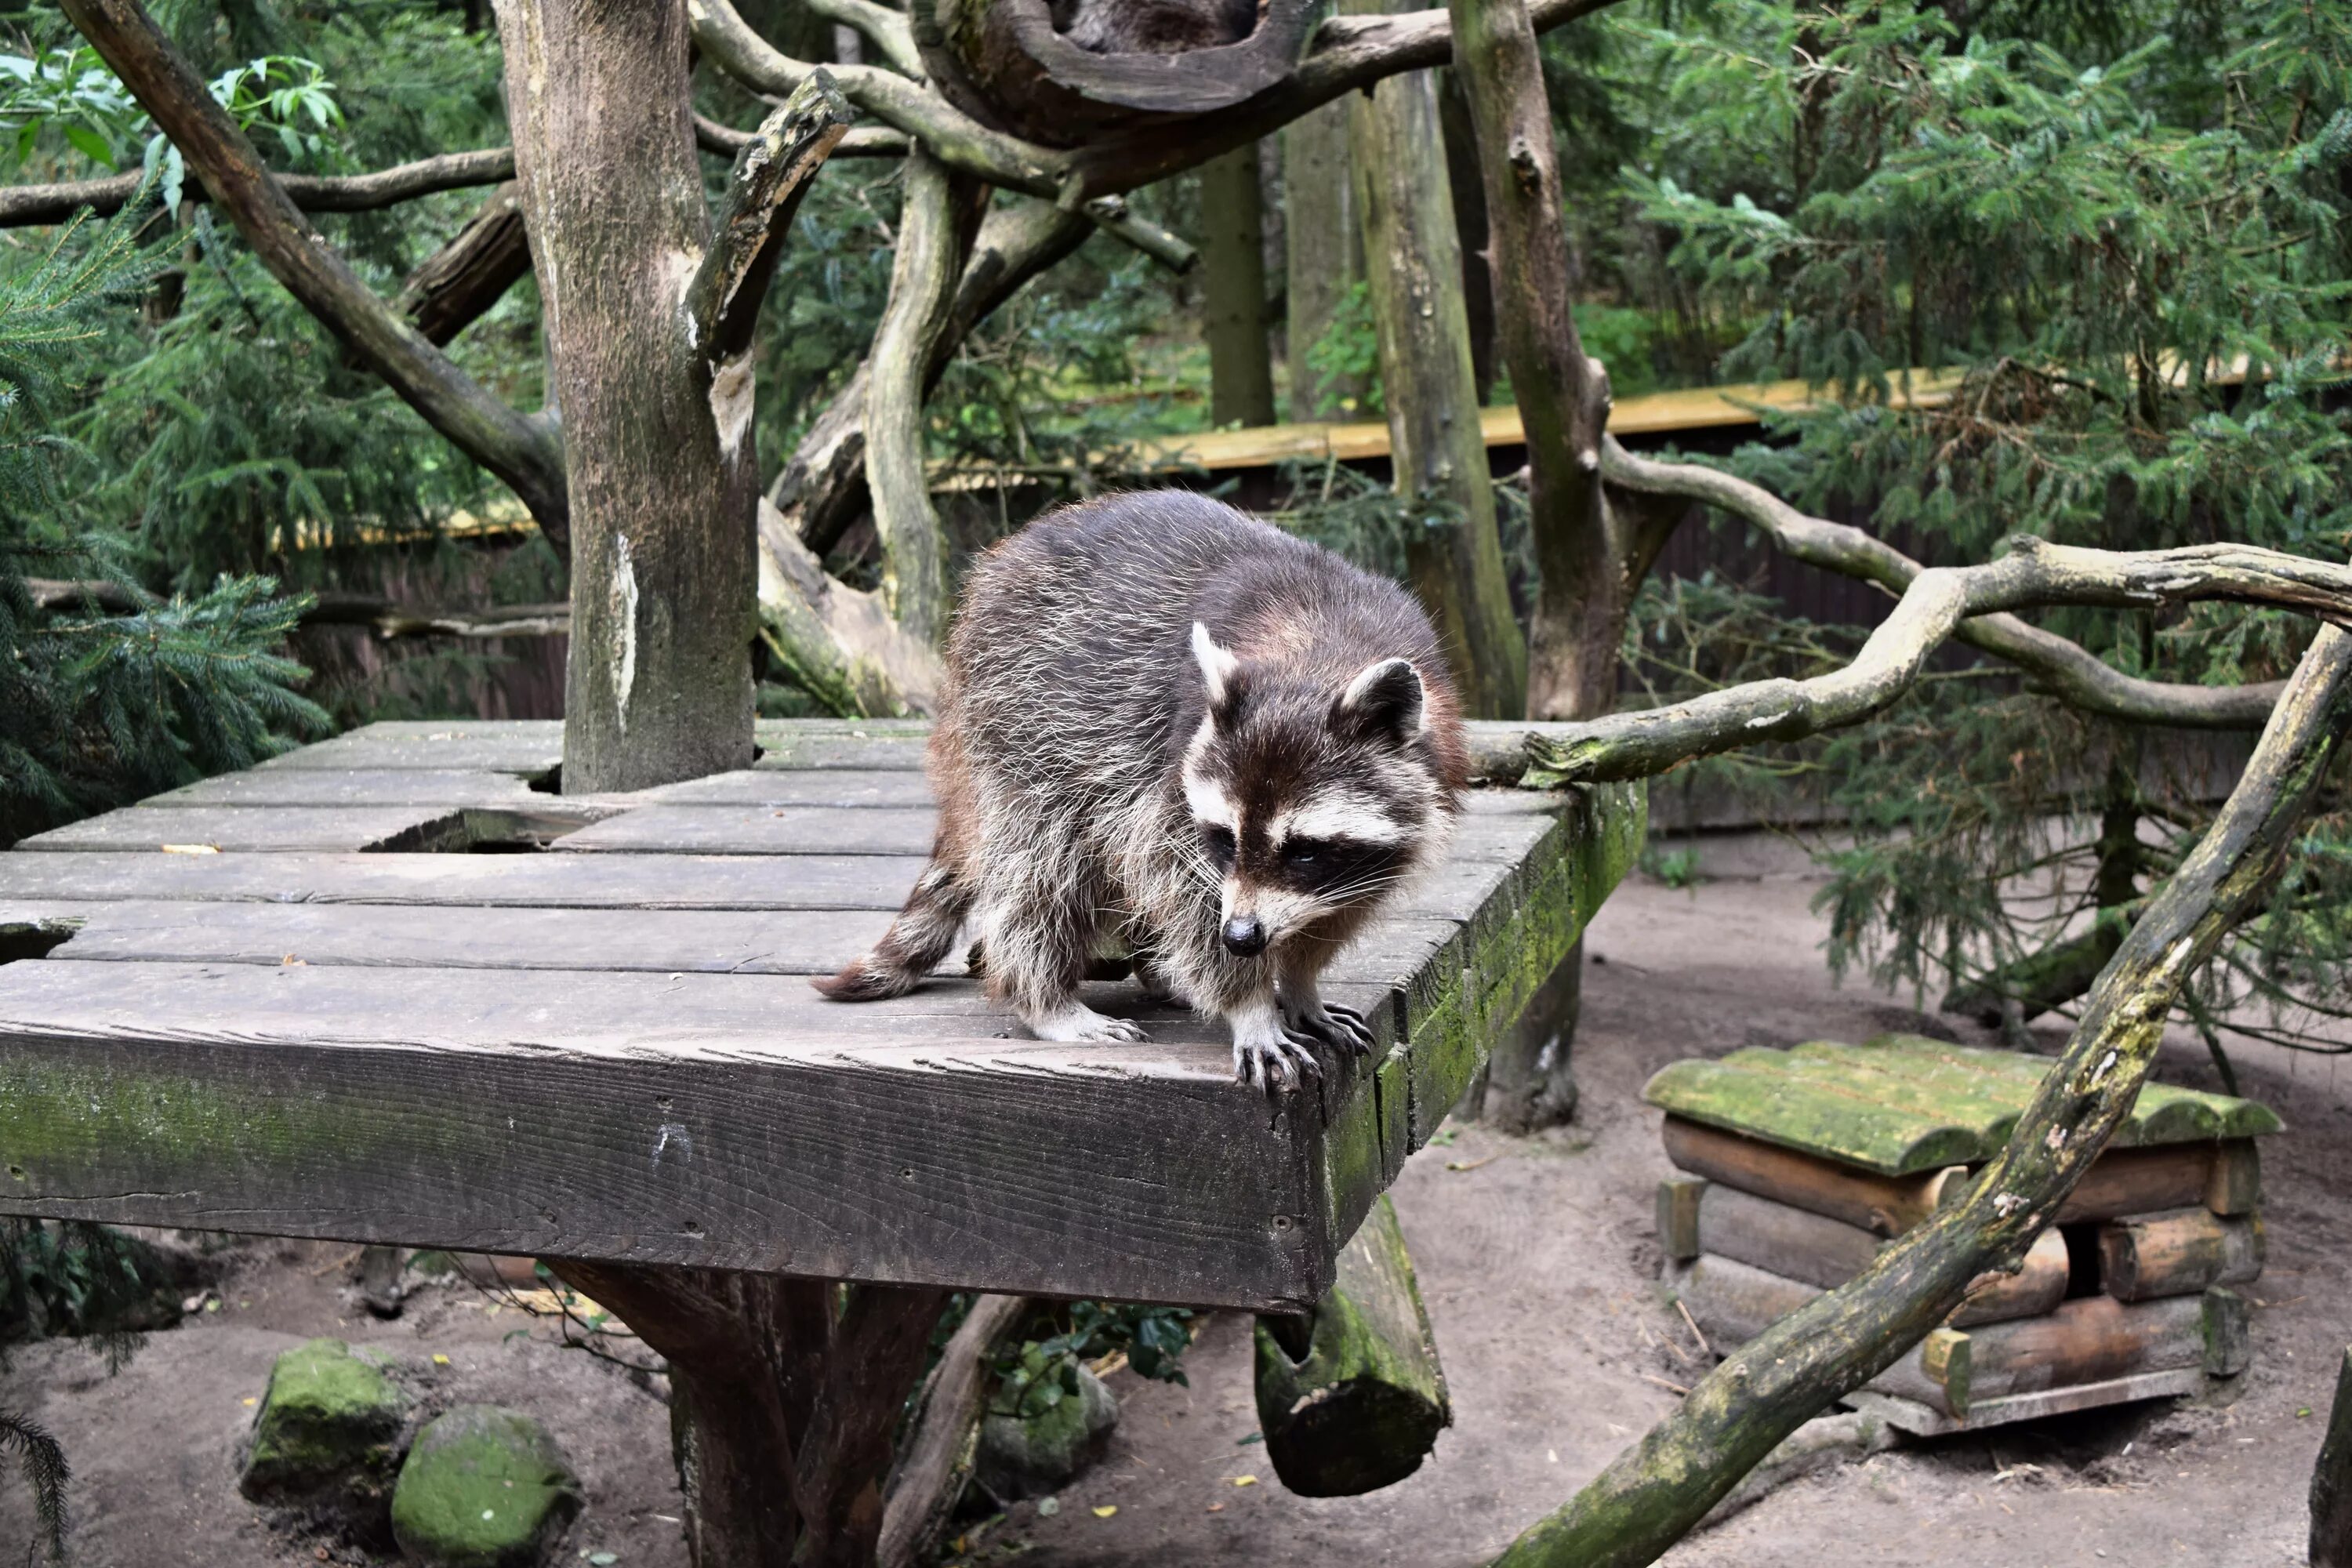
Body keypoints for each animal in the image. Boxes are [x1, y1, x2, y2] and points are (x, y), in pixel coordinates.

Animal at [818, 491, 1458, 1091]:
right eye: (1225, 839)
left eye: (1302, 849)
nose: (1242, 937)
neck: (1315, 652)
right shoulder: (1172, 752)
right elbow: (1175, 876)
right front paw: (1250, 1004)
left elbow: (1341, 902)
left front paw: (1301, 981)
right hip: (1019, 712)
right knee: (1045, 862)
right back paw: (1044, 997)